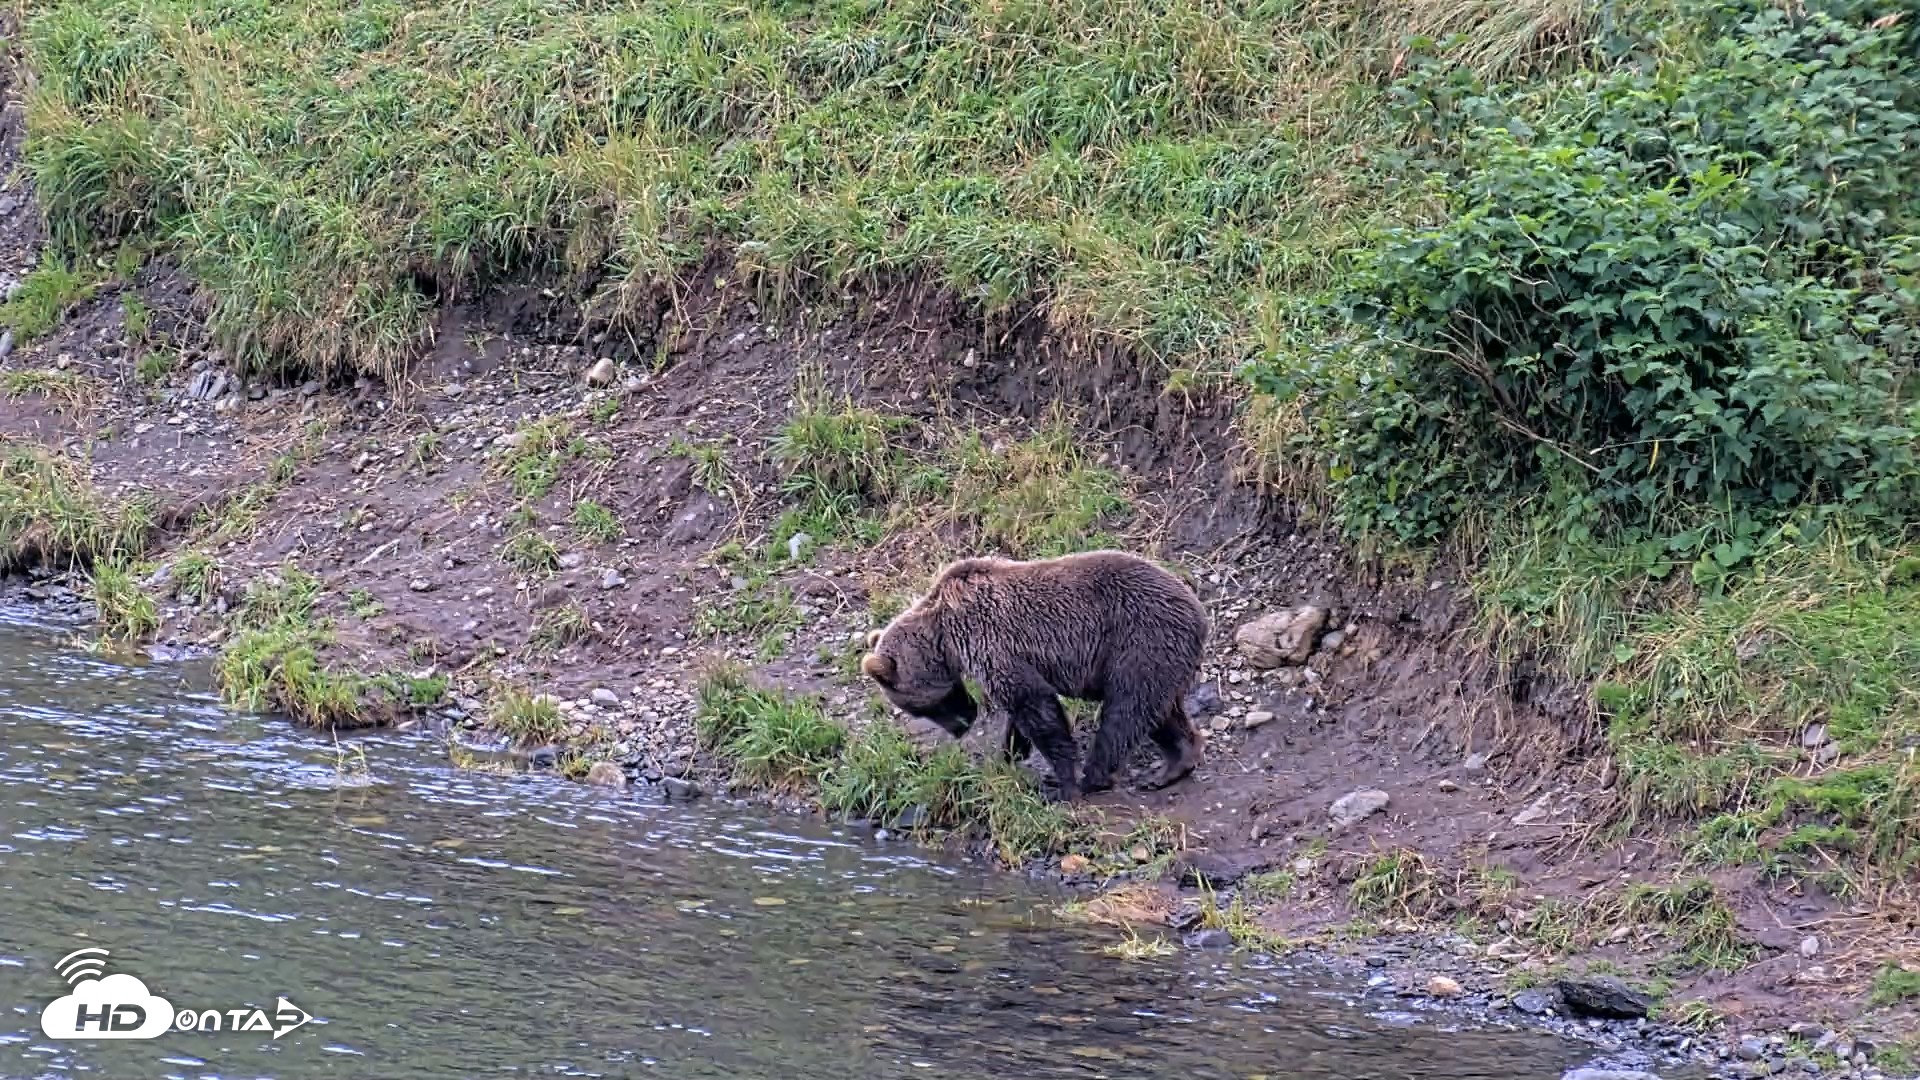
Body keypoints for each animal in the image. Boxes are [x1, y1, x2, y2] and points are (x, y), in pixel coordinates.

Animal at [859, 549, 1207, 802]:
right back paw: (1173, 765)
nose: (961, 727)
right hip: (1160, 654)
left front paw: (1064, 781)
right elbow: (1023, 713)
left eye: (918, 708)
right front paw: (1009, 753)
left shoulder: (995, 643)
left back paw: (1094, 777)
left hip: (1139, 639)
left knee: (1126, 709)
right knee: (1158, 710)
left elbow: (1036, 708)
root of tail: (1198, 610)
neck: (946, 636)